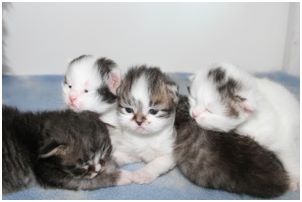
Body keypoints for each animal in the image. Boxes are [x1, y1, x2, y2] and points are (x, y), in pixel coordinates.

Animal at [2, 105, 130, 194]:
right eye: (84, 165)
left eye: (104, 155)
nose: (98, 170)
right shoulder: (49, 174)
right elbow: (92, 181)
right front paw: (127, 176)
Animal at [189, 63, 300, 191]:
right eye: (194, 99)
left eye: (209, 110)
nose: (194, 114)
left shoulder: (276, 133)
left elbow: (288, 154)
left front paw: (295, 179)